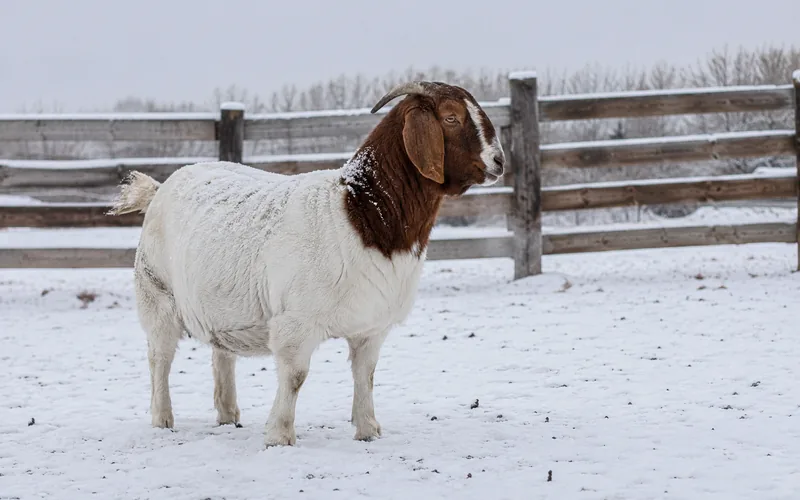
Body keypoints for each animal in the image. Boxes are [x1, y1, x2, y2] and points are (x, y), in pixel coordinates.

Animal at [108, 81, 505, 447]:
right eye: (451, 117)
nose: (500, 161)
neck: (359, 210)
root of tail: (159, 189)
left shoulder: (371, 325)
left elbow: (366, 375)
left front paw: (368, 430)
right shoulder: (295, 323)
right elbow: (295, 376)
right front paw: (280, 435)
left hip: (217, 304)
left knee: (222, 355)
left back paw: (228, 415)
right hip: (156, 294)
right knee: (159, 358)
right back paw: (163, 419)